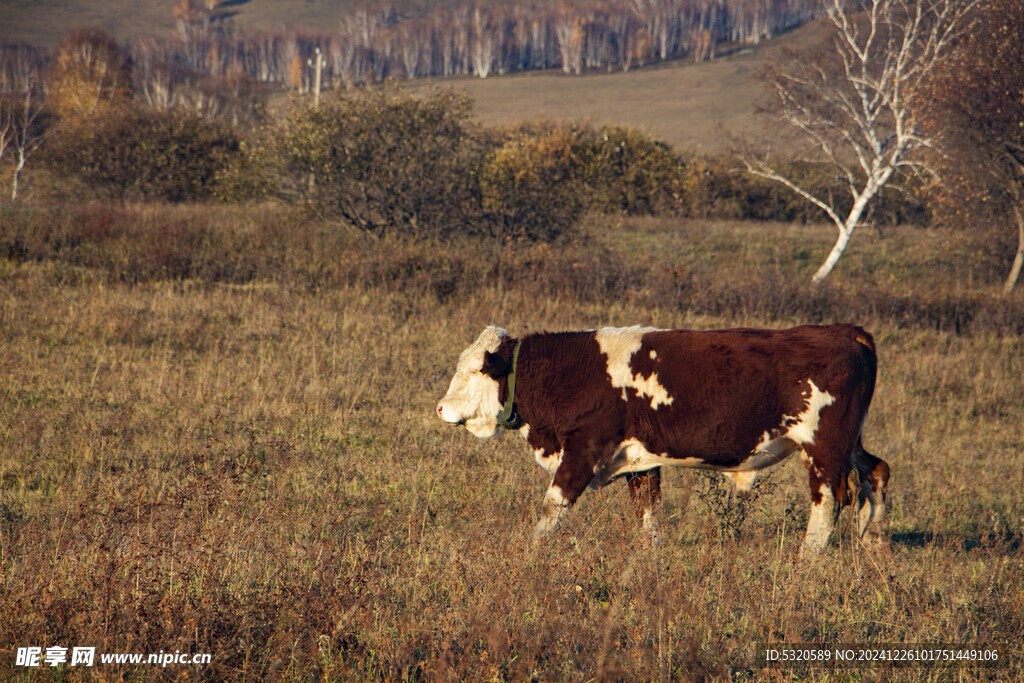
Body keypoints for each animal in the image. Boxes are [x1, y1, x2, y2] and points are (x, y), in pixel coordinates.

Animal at [436, 325, 892, 557]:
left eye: (475, 370)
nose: (440, 408)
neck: (575, 370)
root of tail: (844, 331)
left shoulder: (584, 449)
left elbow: (553, 506)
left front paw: (527, 553)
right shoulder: (640, 459)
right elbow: (648, 510)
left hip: (824, 447)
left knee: (828, 499)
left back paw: (807, 560)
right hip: (849, 441)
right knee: (876, 472)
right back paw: (873, 541)